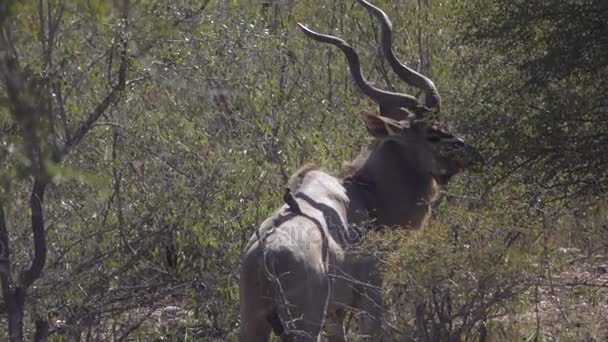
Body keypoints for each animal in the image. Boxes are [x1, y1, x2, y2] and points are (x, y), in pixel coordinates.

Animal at [240, 1, 482, 340]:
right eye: (433, 134)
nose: (474, 155)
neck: (365, 193)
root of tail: (264, 254)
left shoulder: (336, 314)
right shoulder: (371, 294)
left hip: (253, 321)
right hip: (304, 323)